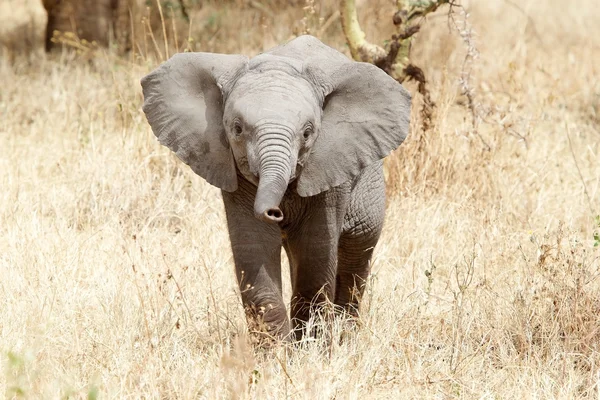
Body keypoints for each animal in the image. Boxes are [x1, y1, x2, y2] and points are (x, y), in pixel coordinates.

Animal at [141, 35, 412, 340]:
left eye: (307, 133)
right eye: (237, 129)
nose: (275, 212)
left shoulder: (330, 168)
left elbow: (316, 251)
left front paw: (310, 347)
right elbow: (253, 246)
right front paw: (276, 350)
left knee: (357, 248)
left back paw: (346, 335)